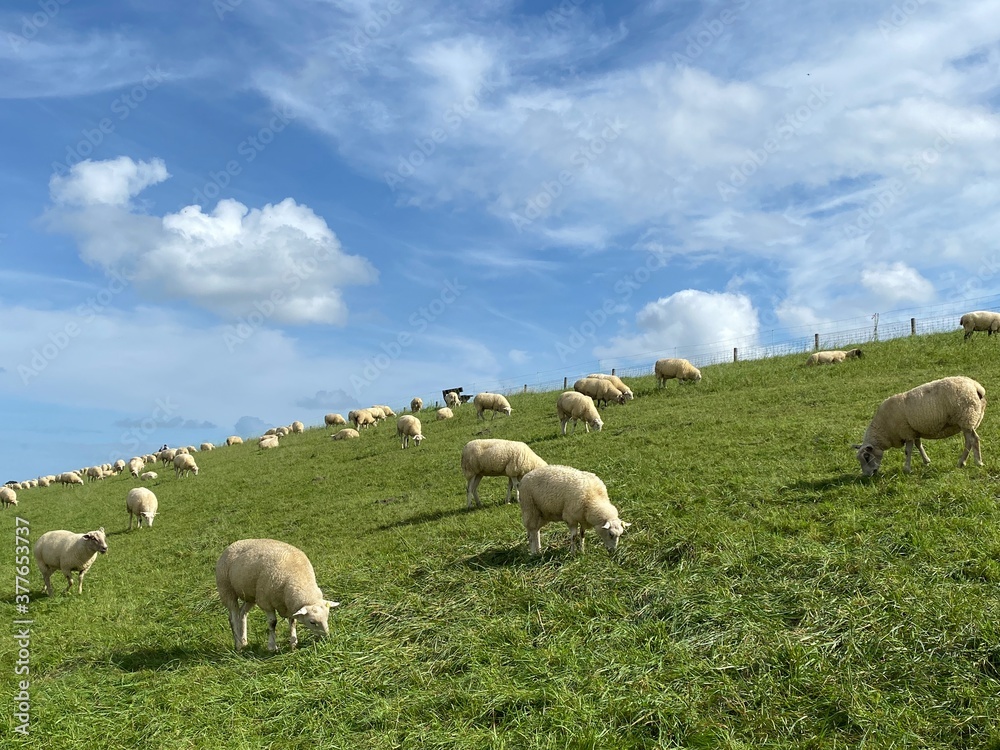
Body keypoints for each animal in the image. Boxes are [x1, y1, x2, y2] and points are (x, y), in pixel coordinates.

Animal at [853, 376, 987, 476]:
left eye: (866, 457)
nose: (867, 475)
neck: (884, 429)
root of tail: (976, 386)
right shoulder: (913, 431)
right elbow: (919, 445)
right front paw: (926, 461)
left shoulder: (906, 432)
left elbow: (908, 451)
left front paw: (907, 469)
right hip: (969, 420)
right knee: (969, 441)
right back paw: (963, 462)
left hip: (966, 417)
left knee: (973, 439)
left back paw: (976, 462)